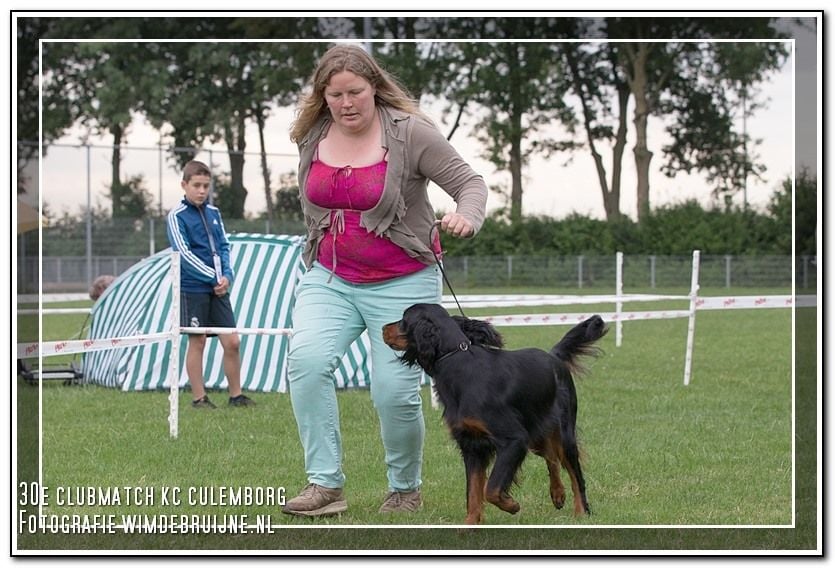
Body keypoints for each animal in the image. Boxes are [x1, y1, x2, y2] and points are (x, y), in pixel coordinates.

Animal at [382, 304, 604, 524]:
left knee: (574, 472)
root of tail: (554, 356)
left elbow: (491, 489)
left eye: (403, 319)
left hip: (563, 430)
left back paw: (581, 512)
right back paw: (558, 494)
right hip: (537, 432)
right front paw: (470, 525)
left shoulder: (514, 440)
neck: (459, 364)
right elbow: (473, 492)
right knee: (551, 456)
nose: (383, 328)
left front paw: (511, 505)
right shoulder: (472, 445)